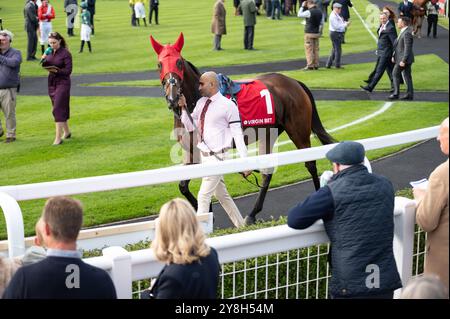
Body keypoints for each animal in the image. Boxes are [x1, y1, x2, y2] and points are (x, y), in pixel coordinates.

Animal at [149, 33, 336, 225]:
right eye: (159, 64)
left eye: (178, 62)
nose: (172, 97)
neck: (197, 101)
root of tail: (294, 82)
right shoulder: (192, 150)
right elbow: (183, 186)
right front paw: (206, 212)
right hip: (269, 133)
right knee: (267, 172)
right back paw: (252, 213)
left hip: (298, 130)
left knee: (310, 163)